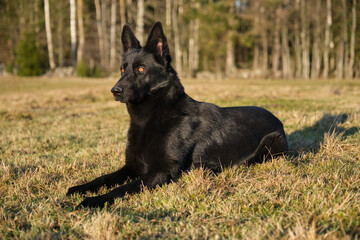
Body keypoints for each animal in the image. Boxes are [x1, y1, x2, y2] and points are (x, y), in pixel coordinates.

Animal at [66, 22, 288, 208]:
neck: (150, 117)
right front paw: (80, 188)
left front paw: (94, 200)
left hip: (270, 143)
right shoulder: (132, 166)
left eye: (141, 69)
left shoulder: (162, 171)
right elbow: (104, 178)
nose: (115, 91)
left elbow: (124, 188)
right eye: (122, 69)